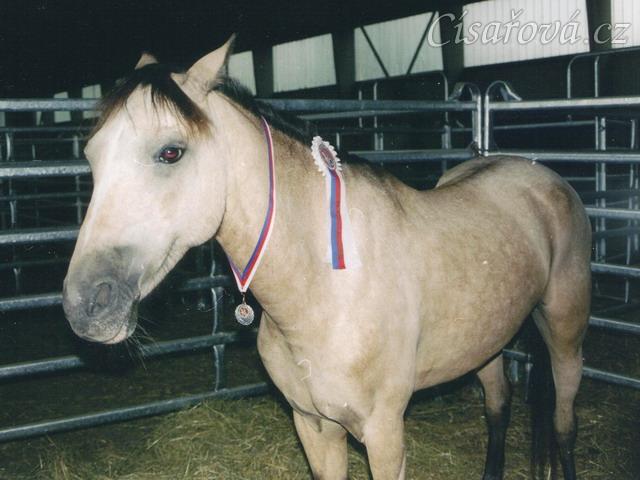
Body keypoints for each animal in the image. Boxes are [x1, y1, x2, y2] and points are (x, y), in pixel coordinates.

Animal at [62, 38, 591, 480]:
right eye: (91, 156)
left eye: (170, 152)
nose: (85, 305)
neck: (325, 289)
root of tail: (540, 176)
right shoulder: (313, 426)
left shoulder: (384, 433)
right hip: (487, 344)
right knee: (498, 408)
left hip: (565, 336)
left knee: (564, 424)